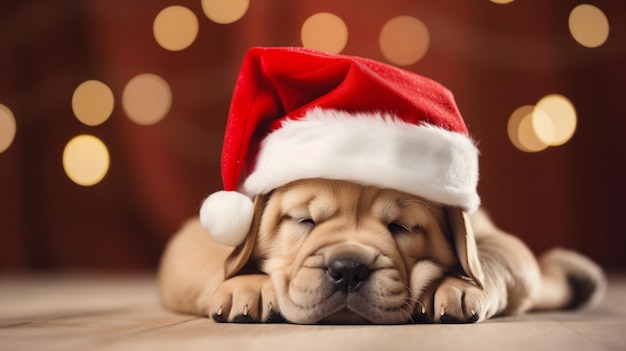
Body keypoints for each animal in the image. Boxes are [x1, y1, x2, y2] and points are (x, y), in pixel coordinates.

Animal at [157, 179, 604, 324]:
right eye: (304, 221)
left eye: (401, 228)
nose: (348, 269)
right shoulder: (196, 237)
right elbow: (219, 259)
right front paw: (247, 285)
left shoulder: (492, 236)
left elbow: (491, 259)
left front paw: (457, 286)